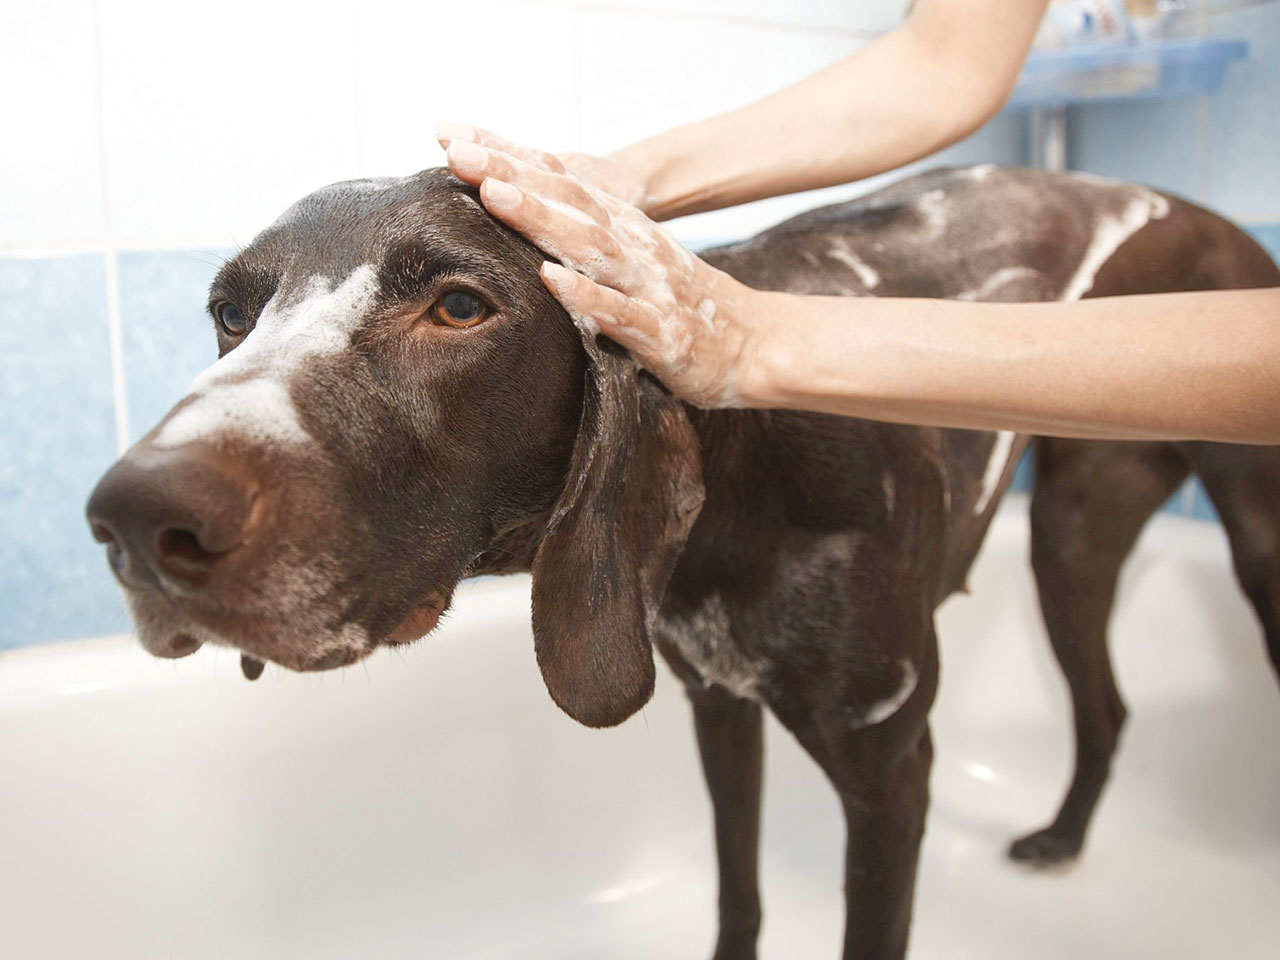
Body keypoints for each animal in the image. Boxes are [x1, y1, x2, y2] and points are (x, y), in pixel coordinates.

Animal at [85, 167, 1274, 960]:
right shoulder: (718, 708)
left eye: (459, 306)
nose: (135, 520)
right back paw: (1064, 835)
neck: (744, 486)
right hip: (1070, 540)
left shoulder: (891, 776)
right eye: (231, 315)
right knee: (1105, 707)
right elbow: (738, 893)